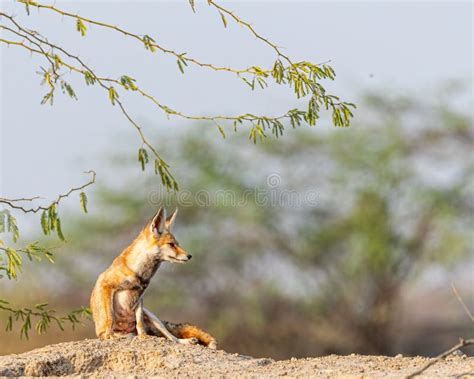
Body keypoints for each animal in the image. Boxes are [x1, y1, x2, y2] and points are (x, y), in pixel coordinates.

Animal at [89, 208, 217, 350]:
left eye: (177, 244)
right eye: (171, 245)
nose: (189, 256)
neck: (140, 274)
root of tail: (128, 332)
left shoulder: (139, 298)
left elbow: (140, 323)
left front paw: (143, 337)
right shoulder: (106, 285)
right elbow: (110, 318)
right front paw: (109, 336)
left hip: (152, 317)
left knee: (171, 337)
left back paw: (185, 341)